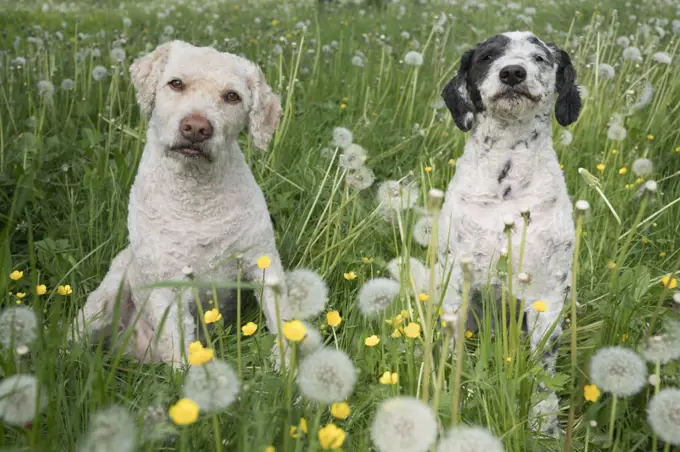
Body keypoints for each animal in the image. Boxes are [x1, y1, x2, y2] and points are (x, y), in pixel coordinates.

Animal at [71, 40, 286, 368]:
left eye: (232, 96)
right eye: (176, 83)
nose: (196, 127)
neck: (196, 202)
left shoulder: (262, 260)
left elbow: (283, 318)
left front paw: (290, 365)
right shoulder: (167, 284)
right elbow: (180, 344)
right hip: (103, 302)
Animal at [388, 31, 580, 434]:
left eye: (539, 57)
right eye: (488, 56)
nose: (513, 72)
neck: (505, 189)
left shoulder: (547, 298)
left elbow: (543, 370)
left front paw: (543, 421)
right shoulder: (455, 289)